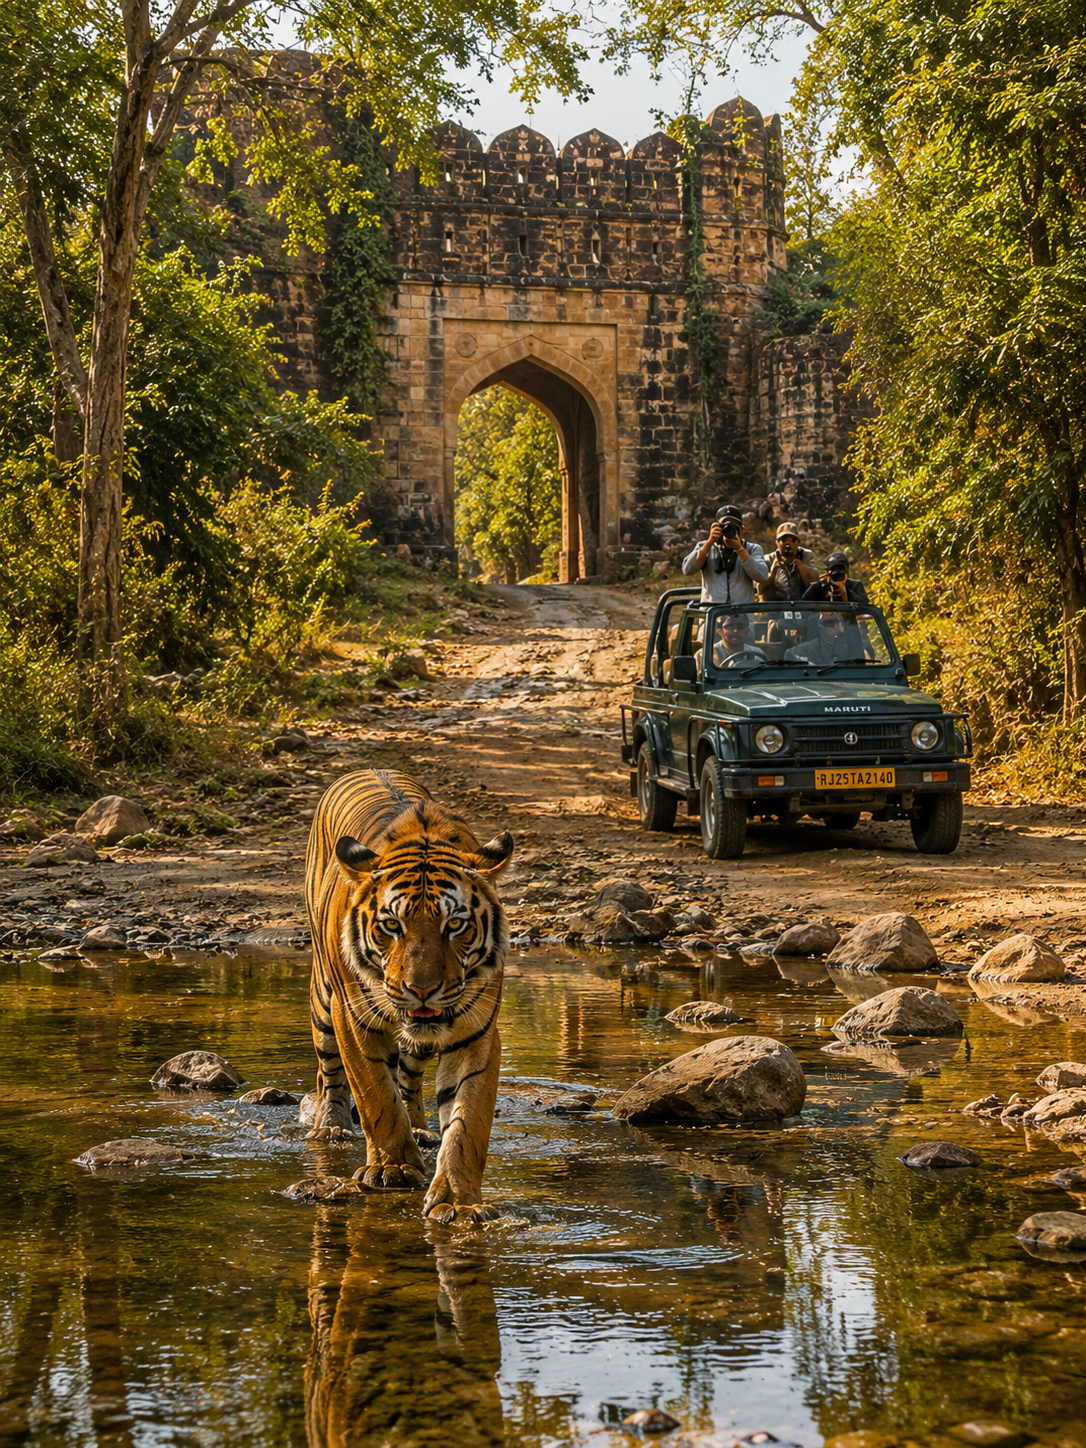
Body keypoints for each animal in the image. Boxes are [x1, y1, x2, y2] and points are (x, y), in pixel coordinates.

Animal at [303, 767, 514, 1224]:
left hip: (420, 1041)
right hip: (324, 1002)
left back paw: (418, 1126)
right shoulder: (353, 1018)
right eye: (391, 925)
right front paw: (394, 1167)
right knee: (330, 1075)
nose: (422, 990)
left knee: (409, 1076)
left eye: (455, 925)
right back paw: (330, 1127)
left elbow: (467, 1121)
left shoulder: (476, 1032)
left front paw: (458, 1199)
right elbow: (375, 1094)